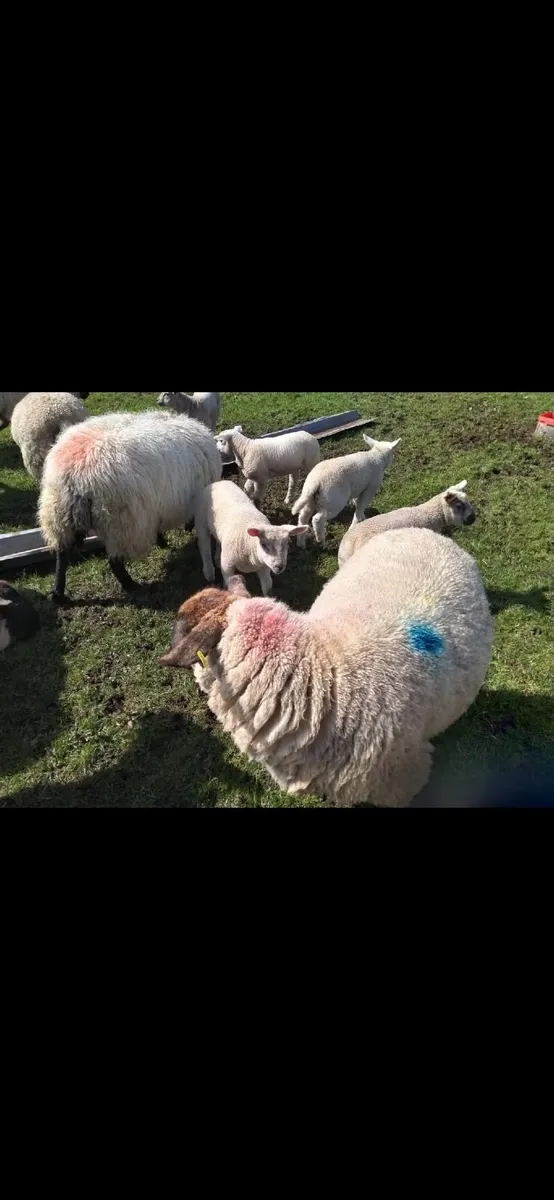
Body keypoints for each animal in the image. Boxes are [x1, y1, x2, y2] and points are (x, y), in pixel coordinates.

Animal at [39, 409, 222, 604]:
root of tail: (75, 477)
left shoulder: (153, 508)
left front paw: (161, 540)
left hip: (57, 516)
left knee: (62, 556)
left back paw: (58, 594)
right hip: (121, 524)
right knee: (114, 561)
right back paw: (130, 585)